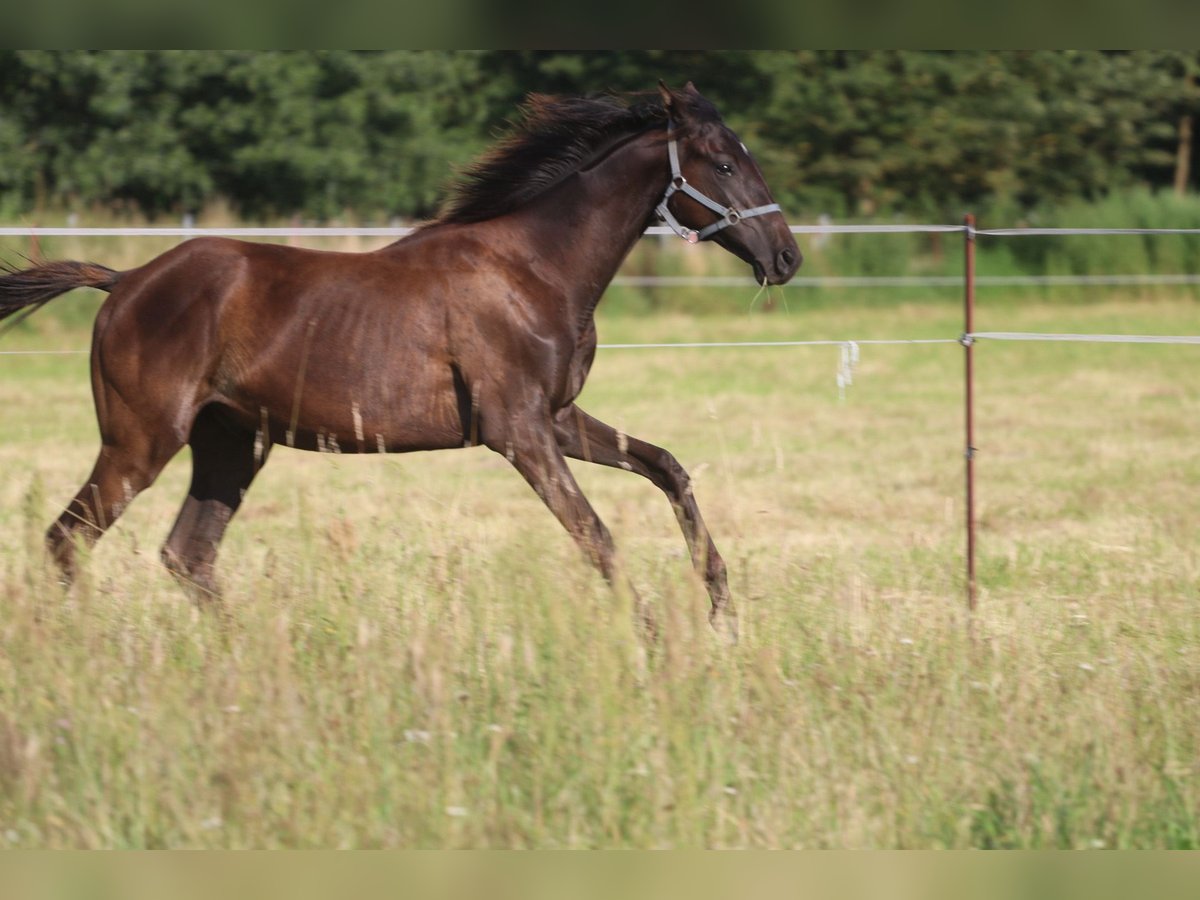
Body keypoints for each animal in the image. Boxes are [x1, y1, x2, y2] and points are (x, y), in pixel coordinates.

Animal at [2, 79, 806, 643]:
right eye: (724, 163)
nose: (787, 259)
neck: (534, 269)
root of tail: (127, 281)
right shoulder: (519, 431)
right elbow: (596, 536)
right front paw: (652, 637)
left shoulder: (557, 418)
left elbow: (667, 467)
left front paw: (720, 604)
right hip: (141, 440)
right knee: (68, 540)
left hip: (232, 443)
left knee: (185, 556)